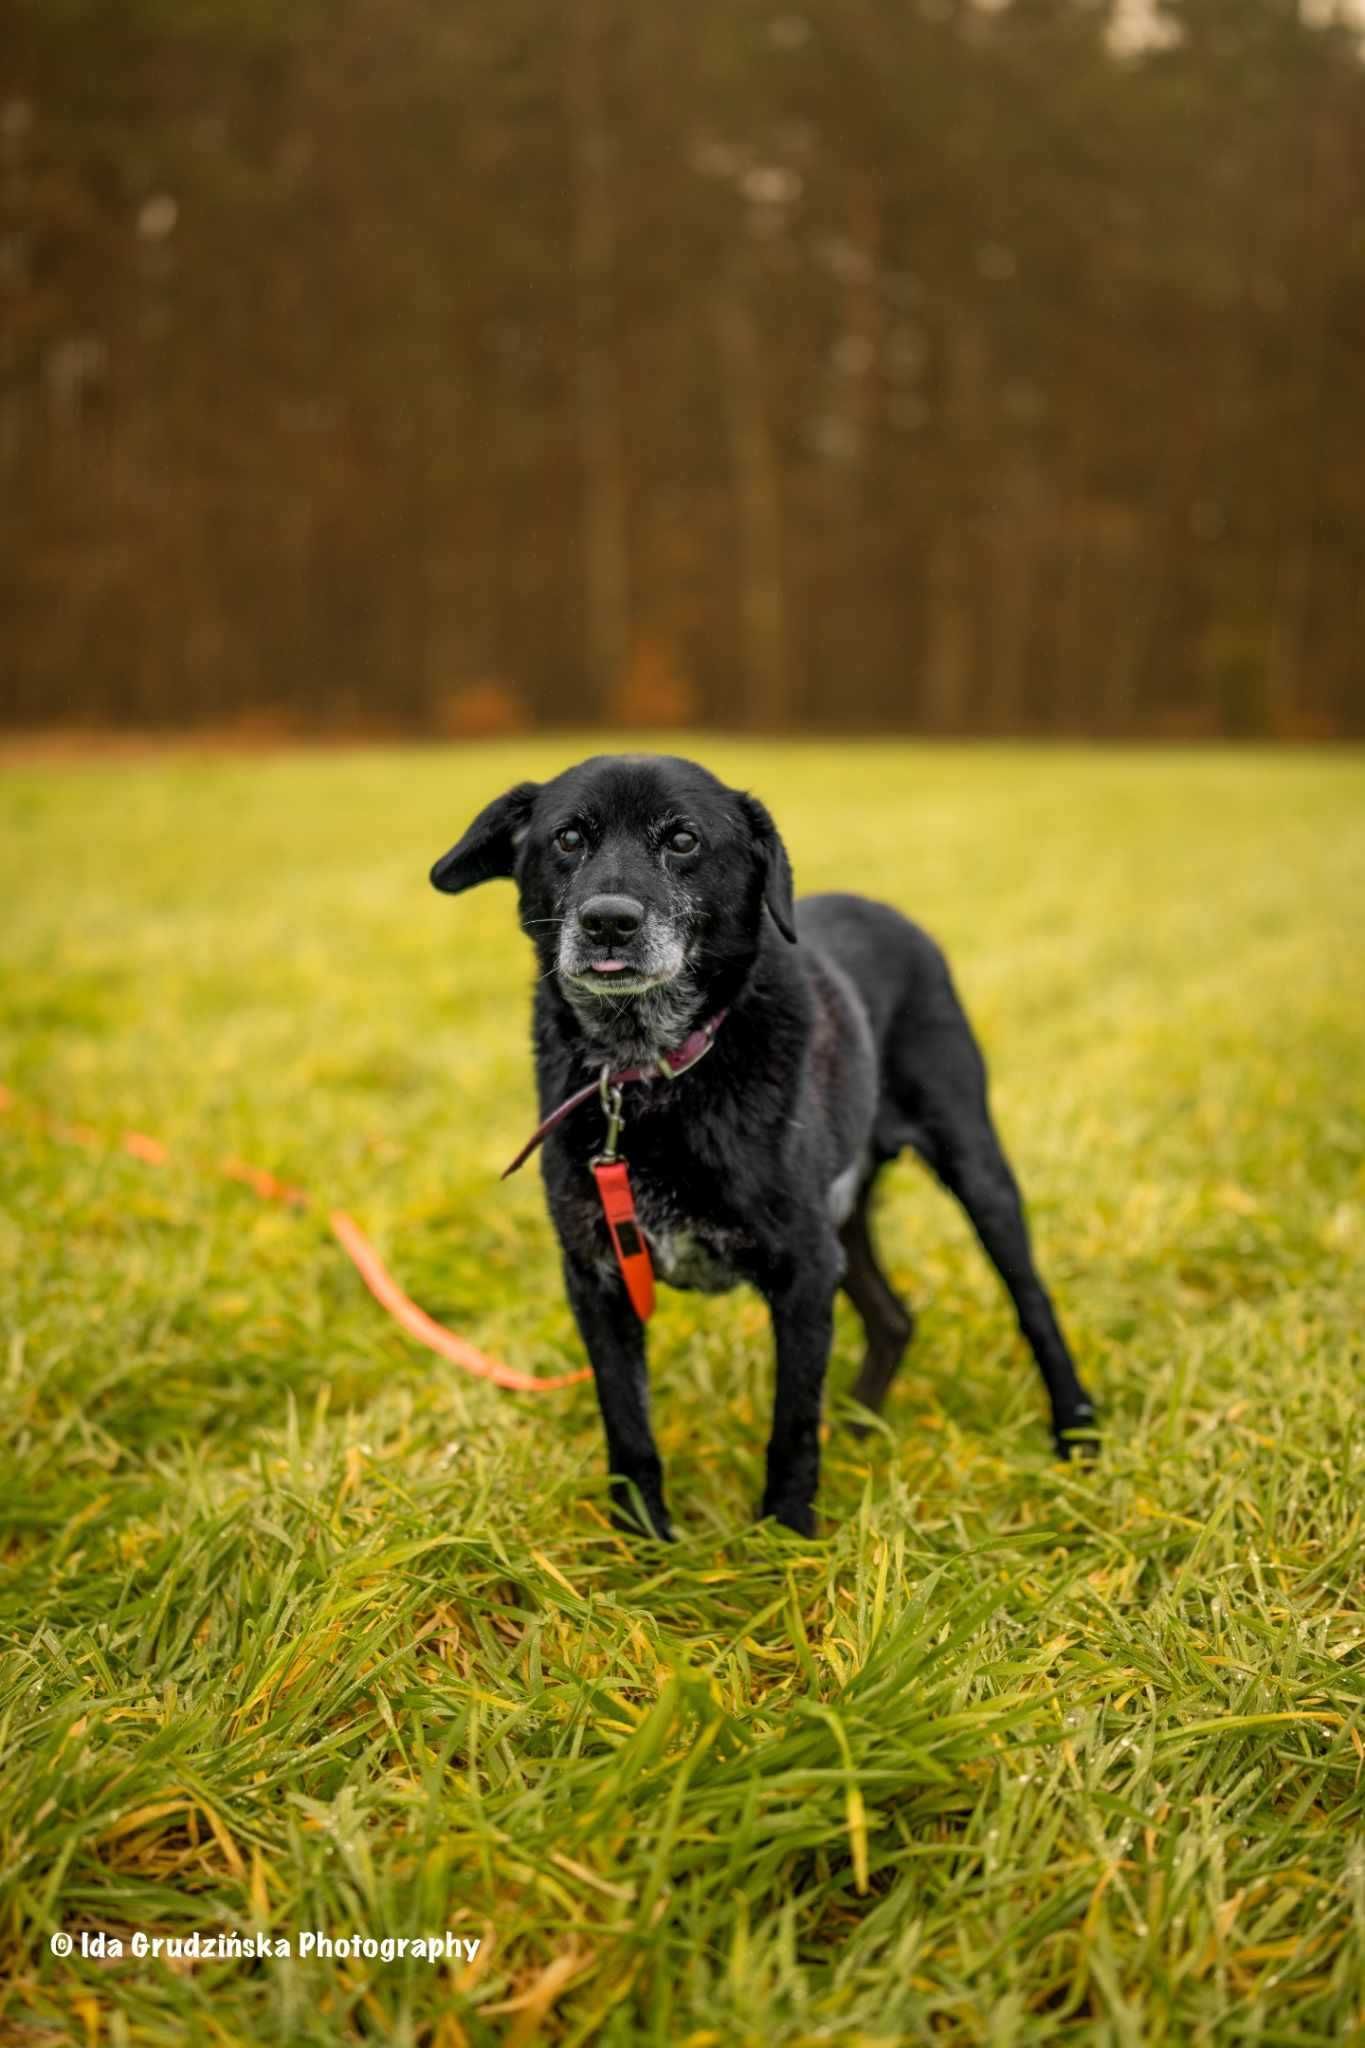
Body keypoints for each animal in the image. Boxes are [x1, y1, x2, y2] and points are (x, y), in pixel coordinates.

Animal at [431, 753, 1096, 1540]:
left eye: (682, 839)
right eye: (567, 837)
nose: (607, 923)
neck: (650, 1073)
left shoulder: (803, 1271)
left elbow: (791, 1425)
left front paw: (786, 1539)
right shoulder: (597, 1277)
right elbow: (628, 1424)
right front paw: (641, 1542)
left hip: (972, 1168)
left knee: (1032, 1303)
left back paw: (1075, 1433)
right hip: (843, 1218)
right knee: (893, 1318)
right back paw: (860, 1429)